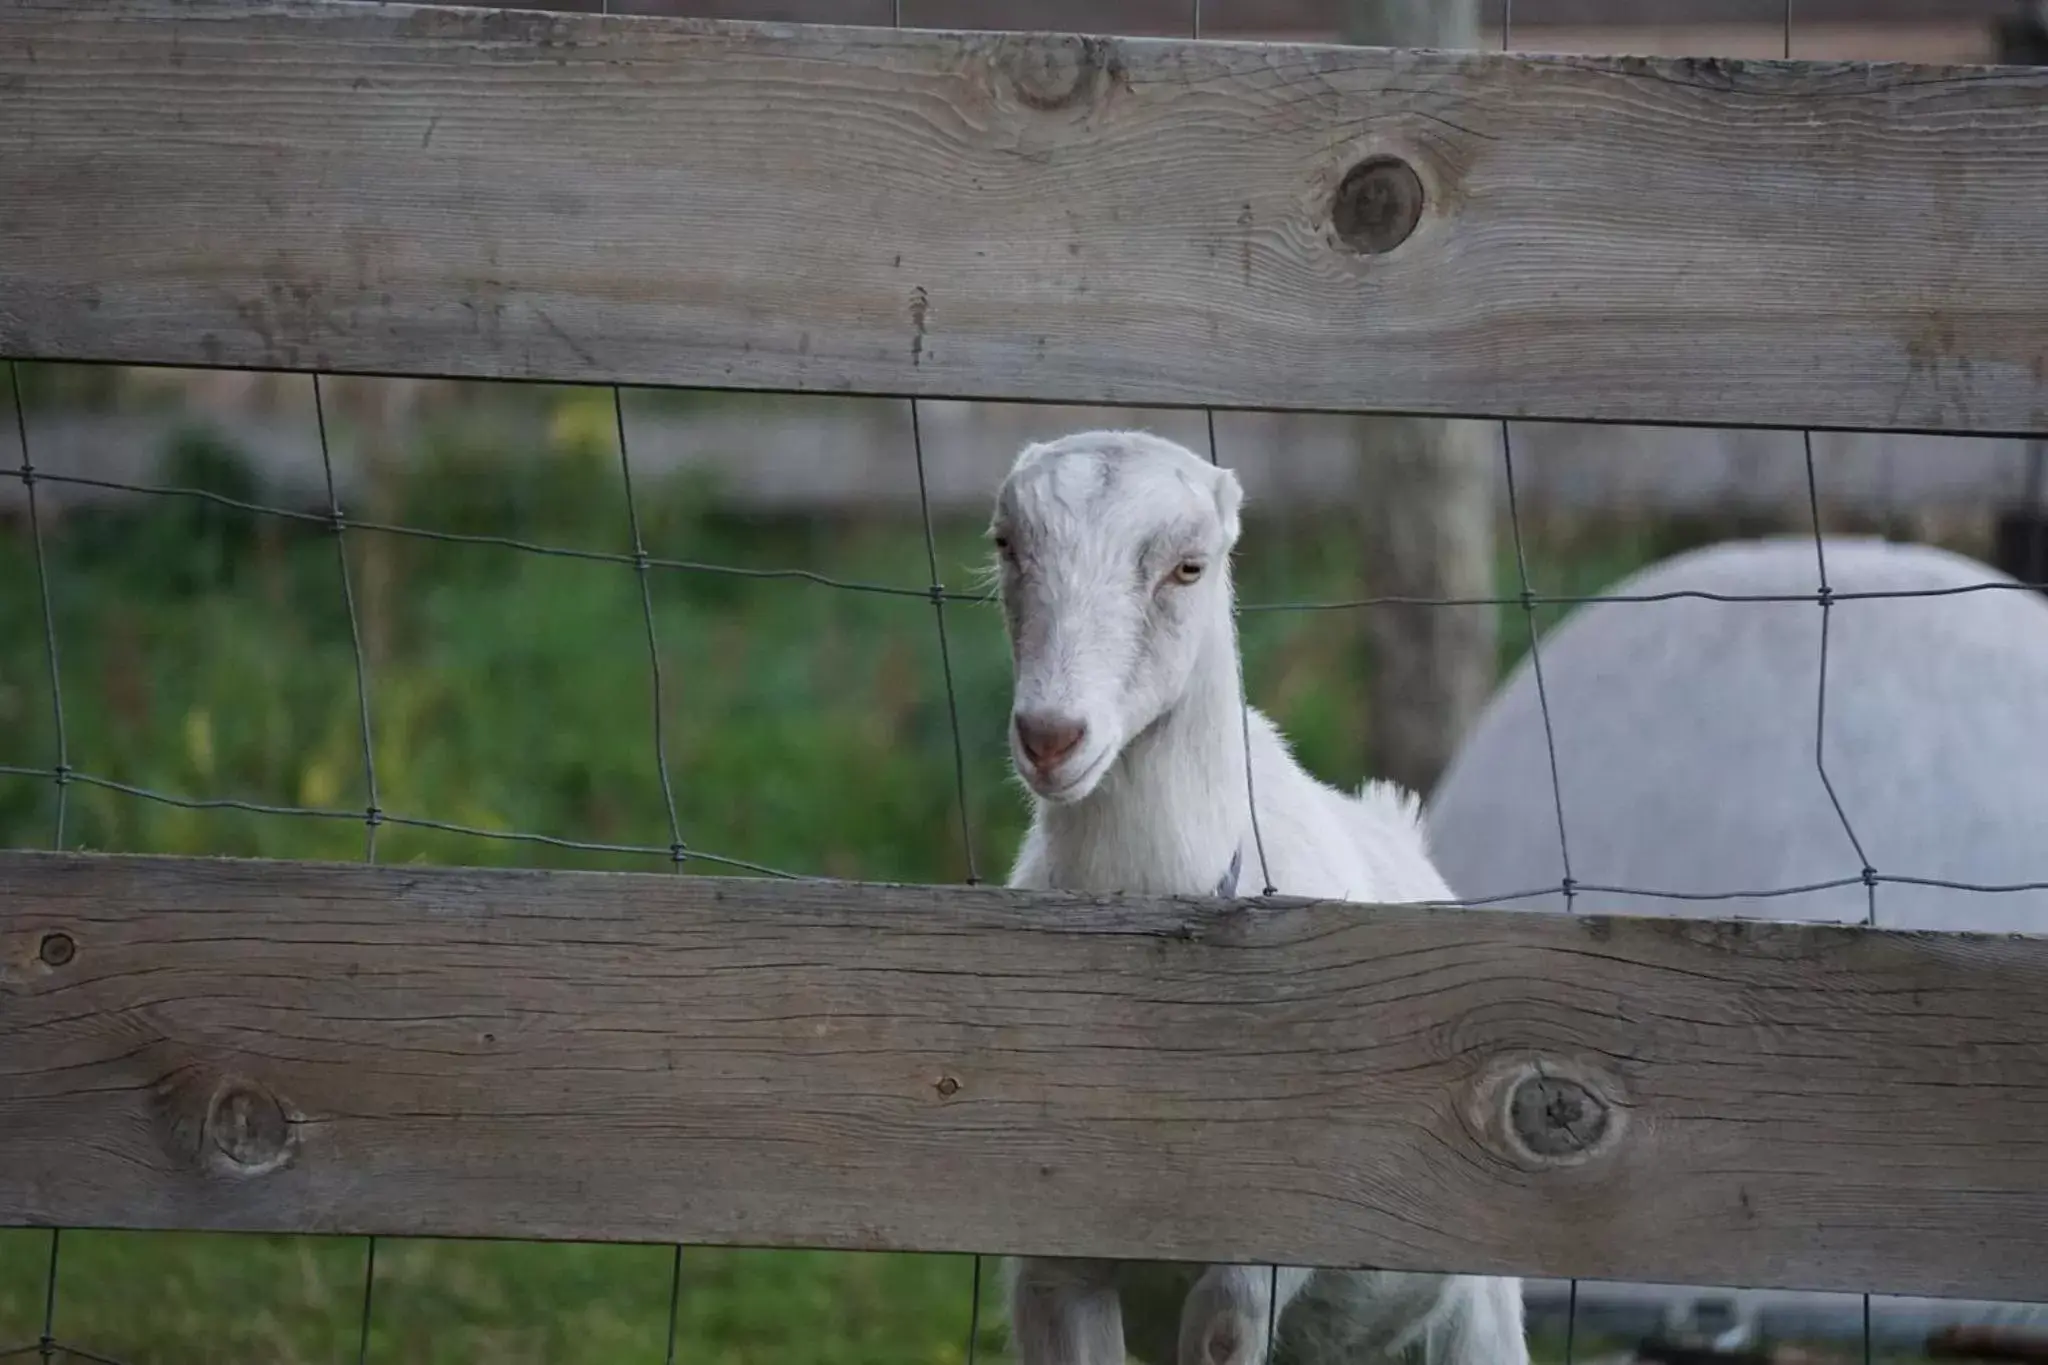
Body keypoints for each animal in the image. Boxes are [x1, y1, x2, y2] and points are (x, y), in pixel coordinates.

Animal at [983, 431, 1531, 1365]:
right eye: (1006, 545)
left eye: (1189, 567)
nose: (1051, 736)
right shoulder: (1054, 1257)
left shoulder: (1256, 1261)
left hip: (1480, 1312)